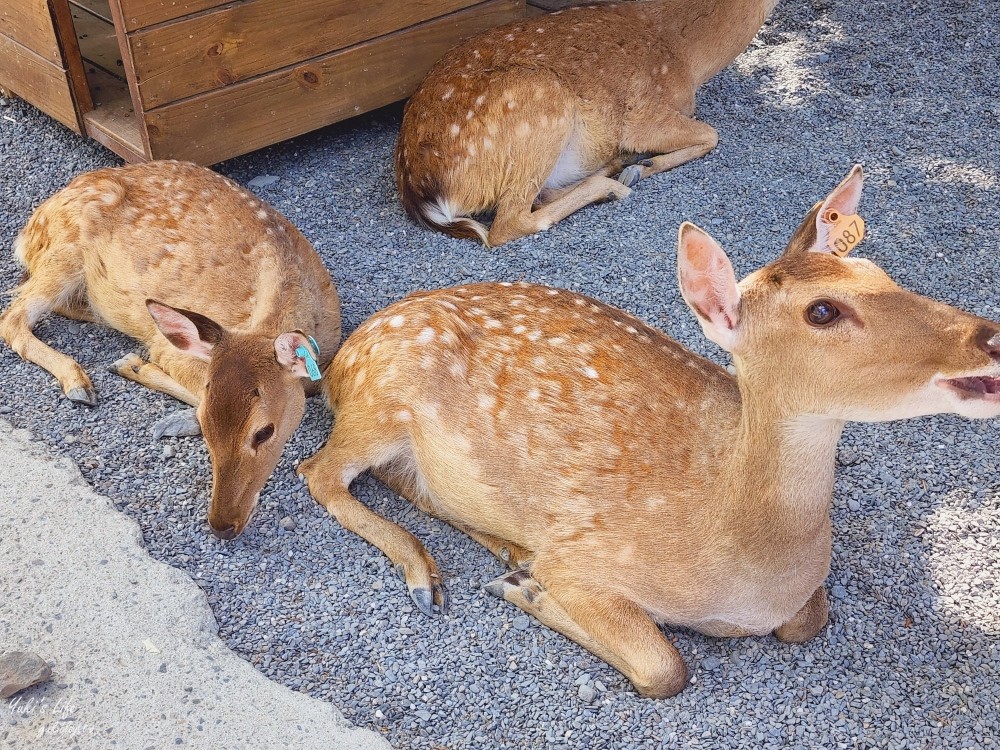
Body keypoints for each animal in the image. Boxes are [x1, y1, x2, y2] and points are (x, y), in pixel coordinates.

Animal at [0, 163, 344, 540]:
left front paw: (134, 369)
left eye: (264, 432)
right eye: (208, 426)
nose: (222, 525)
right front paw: (136, 368)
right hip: (64, 252)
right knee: (13, 315)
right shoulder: (170, 349)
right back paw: (78, 382)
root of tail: (32, 225)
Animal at [296, 164, 1000, 700]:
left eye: (879, 273)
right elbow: (665, 668)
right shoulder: (587, 558)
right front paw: (529, 592)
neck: (748, 575)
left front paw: (522, 575)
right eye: (823, 311)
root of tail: (342, 356)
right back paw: (431, 575)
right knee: (318, 472)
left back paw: (505, 549)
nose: (988, 337)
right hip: (383, 395)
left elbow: (809, 623)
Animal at [392, 0, 780, 248]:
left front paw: (640, 165)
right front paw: (645, 166)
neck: (688, 59)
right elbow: (712, 134)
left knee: (539, 196)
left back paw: (614, 169)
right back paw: (615, 185)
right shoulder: (645, 114)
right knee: (508, 223)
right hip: (541, 102)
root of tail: (419, 189)